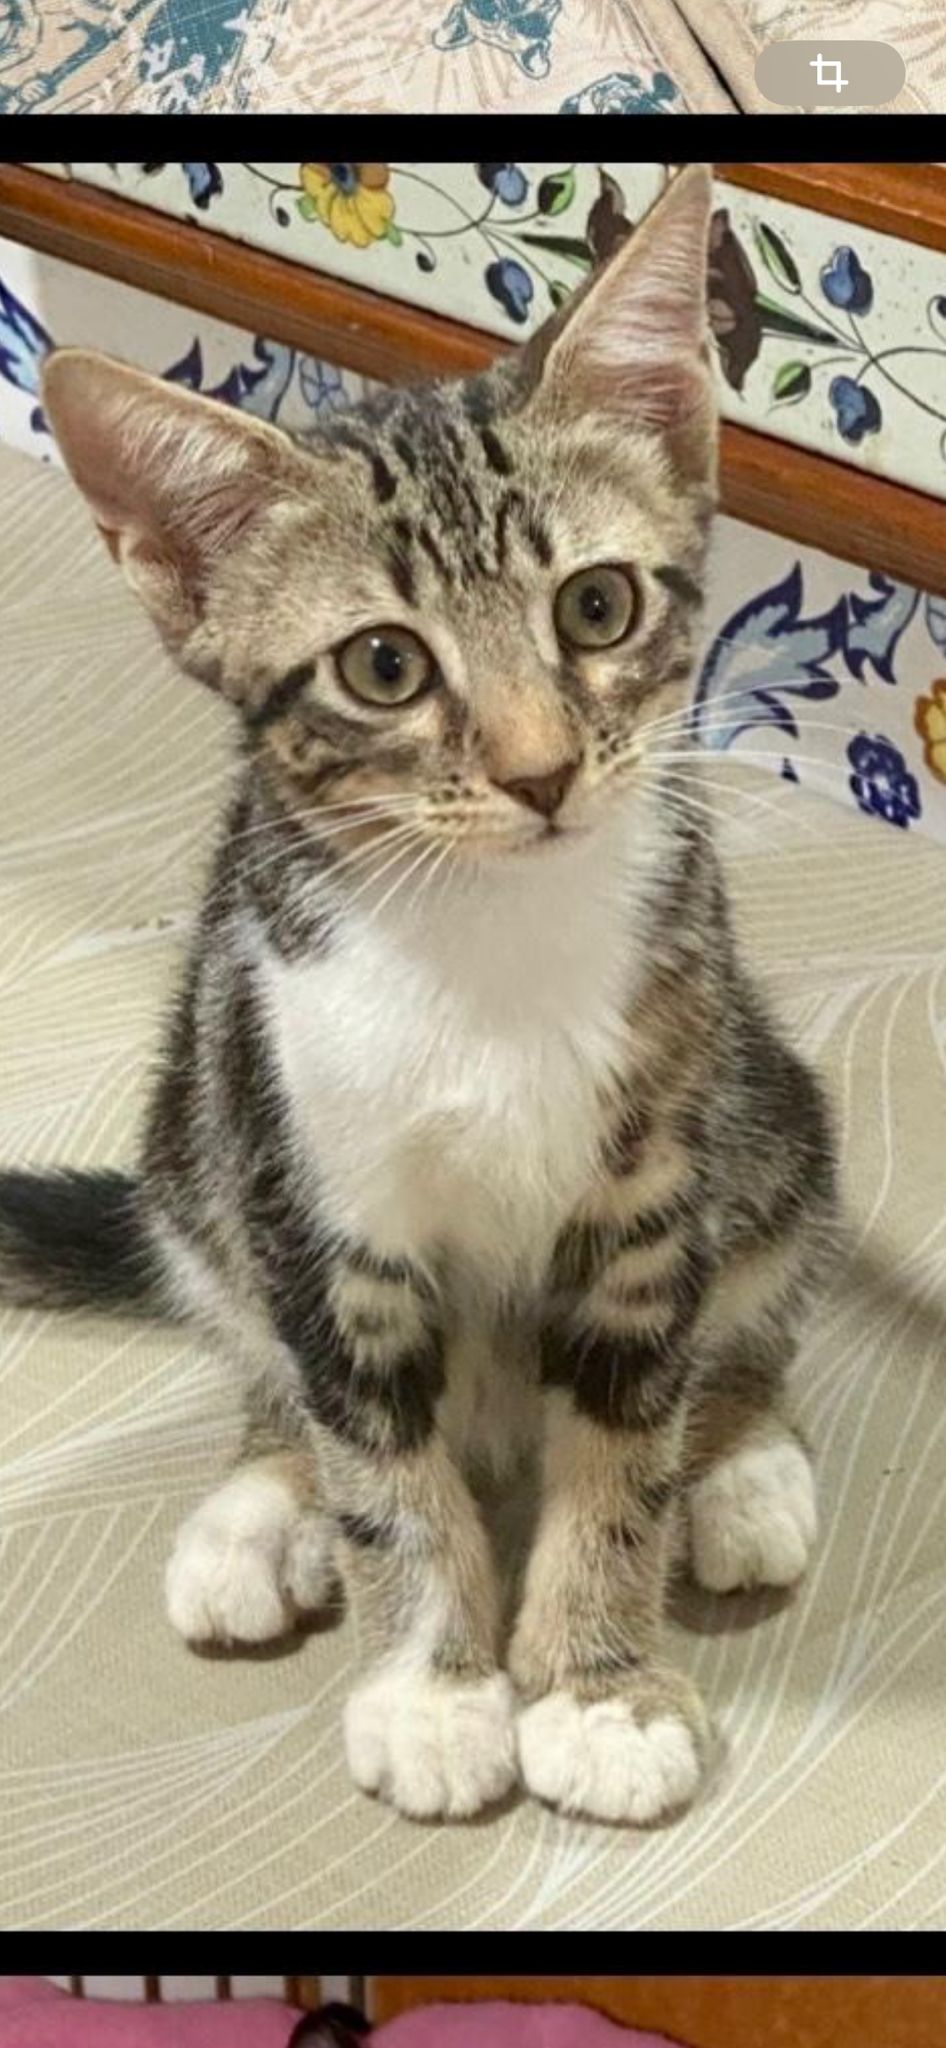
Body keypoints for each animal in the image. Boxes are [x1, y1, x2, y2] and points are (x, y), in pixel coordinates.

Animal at [0, 165, 837, 1826]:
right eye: (383, 666)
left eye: (595, 607)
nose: (541, 771)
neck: (484, 943)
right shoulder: (318, 1193)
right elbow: (378, 1459)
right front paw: (437, 1684)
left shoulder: (652, 1185)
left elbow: (625, 1435)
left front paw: (594, 1687)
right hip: (198, 1132)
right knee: (275, 1372)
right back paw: (257, 1514)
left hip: (767, 1100)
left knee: (745, 1314)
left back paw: (740, 1464)